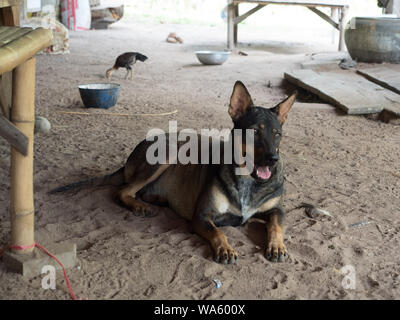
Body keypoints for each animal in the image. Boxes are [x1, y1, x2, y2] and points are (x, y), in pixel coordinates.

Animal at [50, 81, 296, 264]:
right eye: (254, 132)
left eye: (278, 134)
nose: (273, 159)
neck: (248, 180)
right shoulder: (202, 216)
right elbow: (219, 232)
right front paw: (225, 249)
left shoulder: (276, 210)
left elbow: (276, 225)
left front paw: (277, 246)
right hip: (166, 154)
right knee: (122, 191)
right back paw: (139, 204)